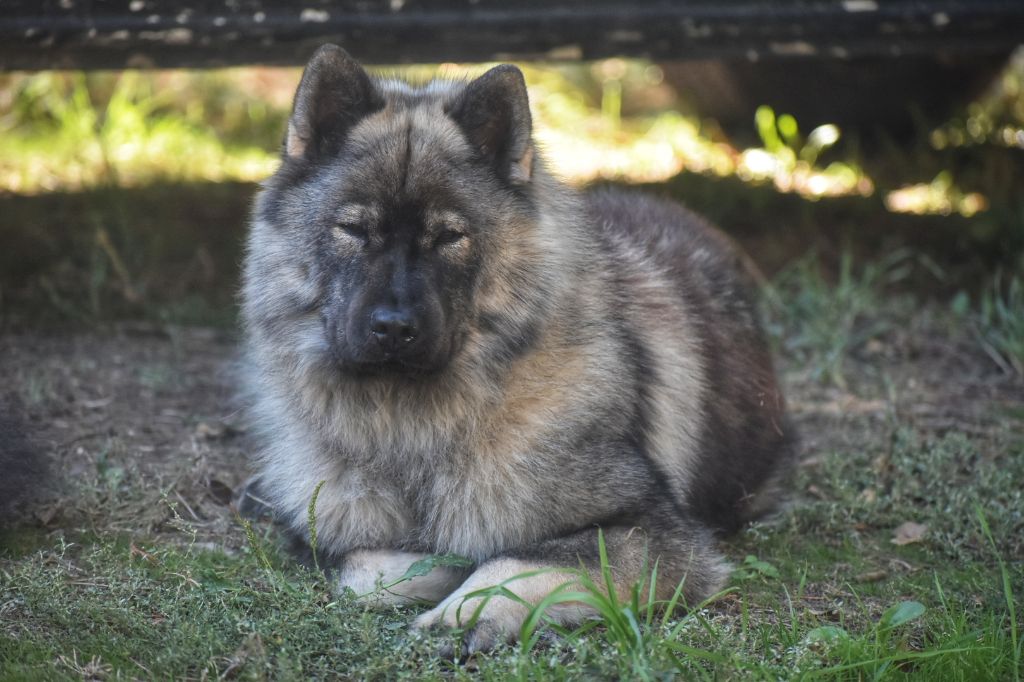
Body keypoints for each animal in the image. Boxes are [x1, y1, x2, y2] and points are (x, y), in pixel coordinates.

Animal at [241, 45, 790, 651]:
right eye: (355, 230)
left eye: (449, 237)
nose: (394, 328)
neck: (414, 430)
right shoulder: (331, 536)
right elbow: (362, 569)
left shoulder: (648, 532)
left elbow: (514, 563)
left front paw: (464, 610)